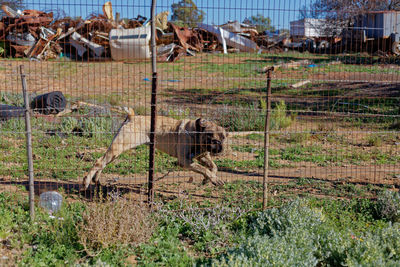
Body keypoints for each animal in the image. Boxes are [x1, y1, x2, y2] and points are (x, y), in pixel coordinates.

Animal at [83, 110, 227, 189]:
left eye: (224, 138)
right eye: (213, 139)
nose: (220, 148)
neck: (195, 132)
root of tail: (132, 117)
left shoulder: (201, 157)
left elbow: (213, 167)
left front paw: (207, 179)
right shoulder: (185, 161)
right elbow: (205, 169)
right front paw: (213, 179)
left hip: (115, 152)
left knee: (103, 162)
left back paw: (96, 180)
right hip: (118, 148)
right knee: (99, 162)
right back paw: (86, 182)